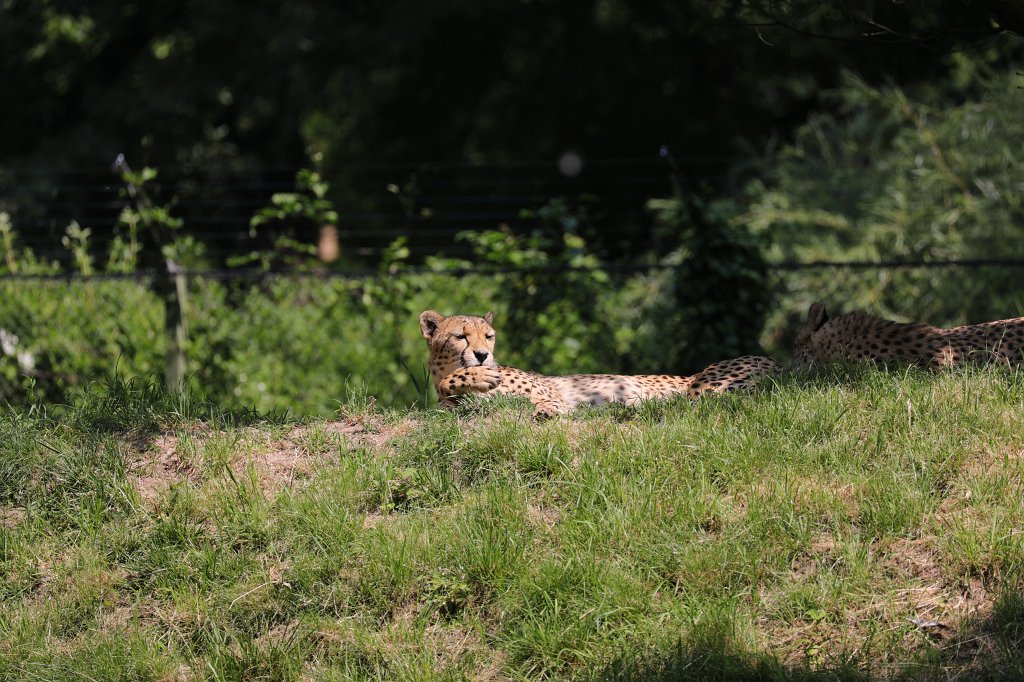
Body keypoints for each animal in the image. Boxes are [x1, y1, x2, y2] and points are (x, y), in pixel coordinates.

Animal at [419, 309, 781, 418]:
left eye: (489, 336)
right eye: (461, 336)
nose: (483, 355)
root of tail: (777, 362)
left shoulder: (550, 395)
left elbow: (543, 403)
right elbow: (446, 392)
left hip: (703, 387)